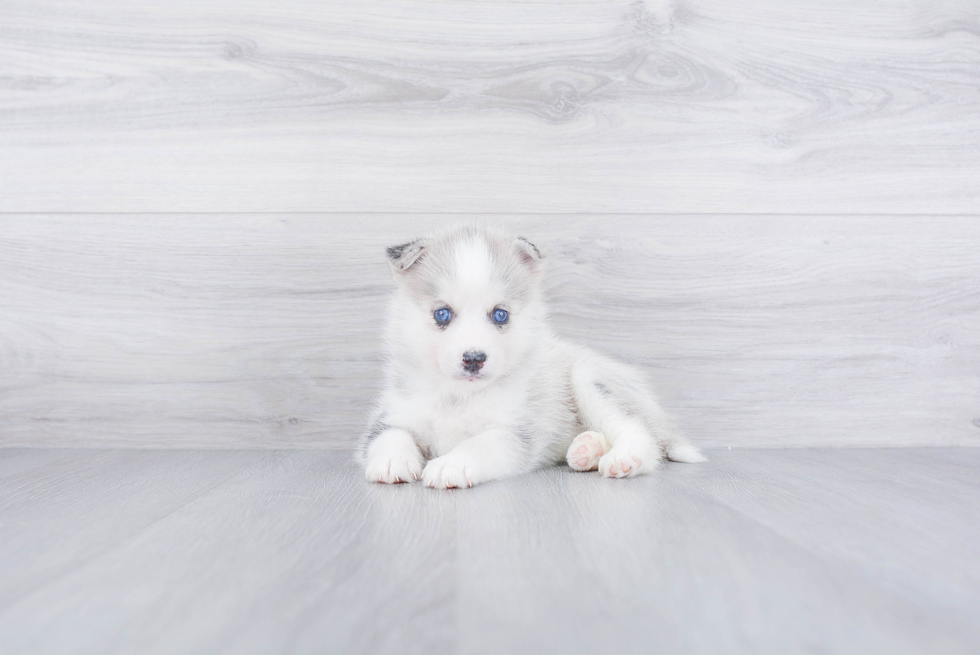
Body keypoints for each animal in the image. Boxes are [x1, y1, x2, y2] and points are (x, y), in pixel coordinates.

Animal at [360, 223, 704, 490]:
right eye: (442, 314)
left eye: (500, 315)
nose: (474, 358)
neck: (459, 397)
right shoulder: (390, 416)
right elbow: (390, 436)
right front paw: (392, 461)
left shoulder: (513, 433)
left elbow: (477, 443)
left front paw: (452, 464)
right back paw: (587, 450)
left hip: (591, 378)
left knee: (640, 433)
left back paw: (623, 459)